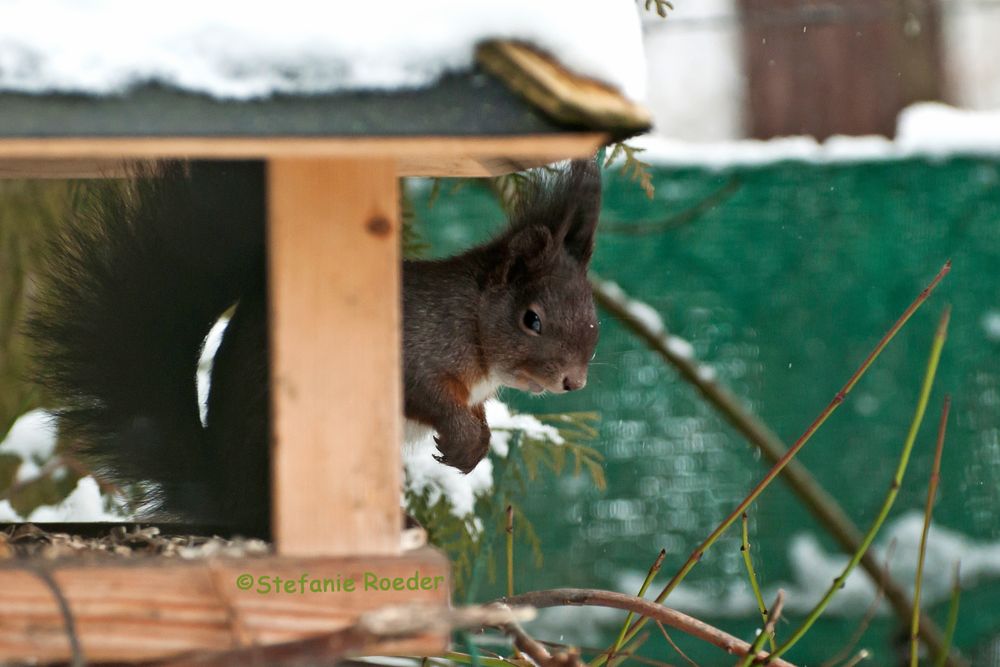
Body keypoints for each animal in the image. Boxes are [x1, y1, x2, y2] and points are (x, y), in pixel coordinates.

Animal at [25, 159, 600, 540]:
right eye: (531, 319)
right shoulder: (416, 346)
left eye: (593, 316)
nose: (573, 382)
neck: (473, 324)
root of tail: (225, 494)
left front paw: (477, 438)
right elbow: (427, 393)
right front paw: (462, 439)